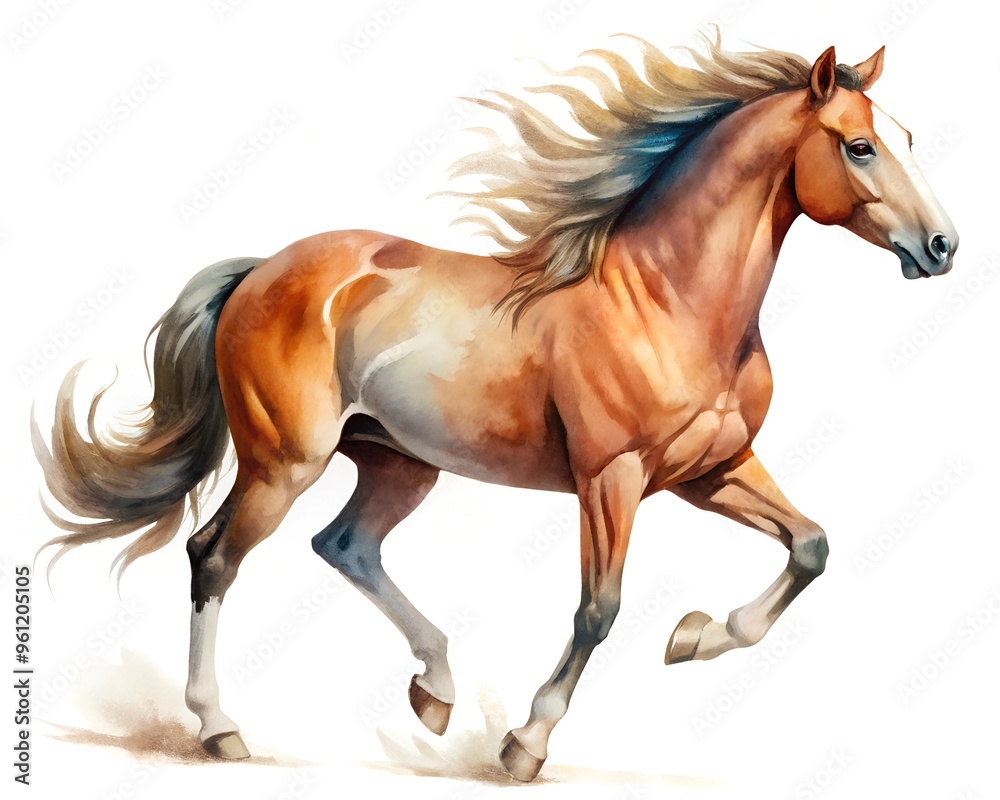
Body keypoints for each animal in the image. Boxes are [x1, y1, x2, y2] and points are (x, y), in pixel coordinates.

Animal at [33, 36, 957, 782]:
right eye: (862, 146)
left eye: (909, 137)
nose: (943, 246)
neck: (665, 300)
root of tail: (260, 271)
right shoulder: (611, 479)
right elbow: (598, 610)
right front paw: (526, 745)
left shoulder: (712, 470)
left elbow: (811, 546)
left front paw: (694, 637)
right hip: (284, 462)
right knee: (214, 554)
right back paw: (221, 729)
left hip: (398, 463)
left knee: (344, 545)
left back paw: (434, 691)